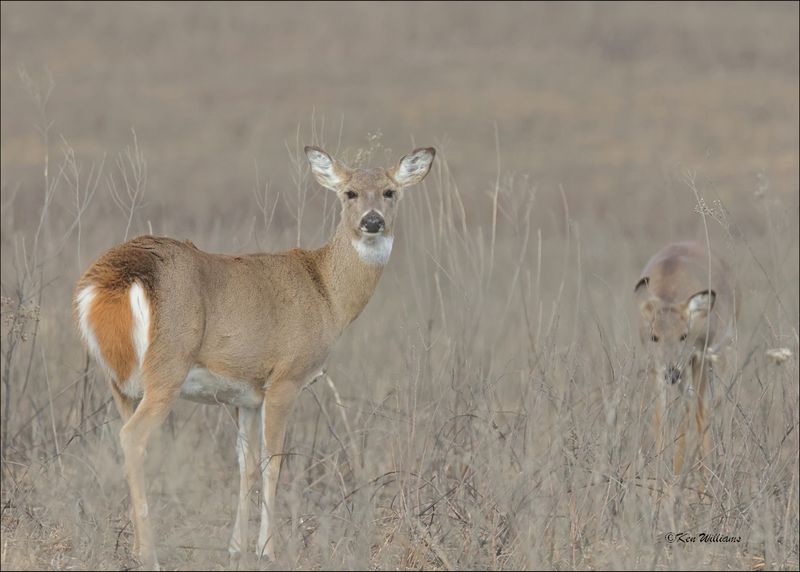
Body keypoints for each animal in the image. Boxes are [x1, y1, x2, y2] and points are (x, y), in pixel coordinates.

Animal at [73, 144, 438, 568]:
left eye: (389, 191)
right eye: (349, 193)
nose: (373, 221)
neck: (327, 294)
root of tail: (110, 280)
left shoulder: (244, 394)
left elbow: (245, 464)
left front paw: (236, 547)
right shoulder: (286, 378)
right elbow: (273, 463)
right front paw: (268, 549)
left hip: (116, 381)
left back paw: (133, 546)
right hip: (167, 368)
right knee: (133, 438)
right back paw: (149, 553)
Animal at [636, 241, 740, 482]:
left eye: (684, 335)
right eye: (654, 336)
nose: (671, 372)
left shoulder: (700, 354)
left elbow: (702, 415)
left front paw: (706, 482)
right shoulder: (655, 365)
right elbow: (660, 419)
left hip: (721, 353)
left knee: (711, 407)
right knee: (687, 410)